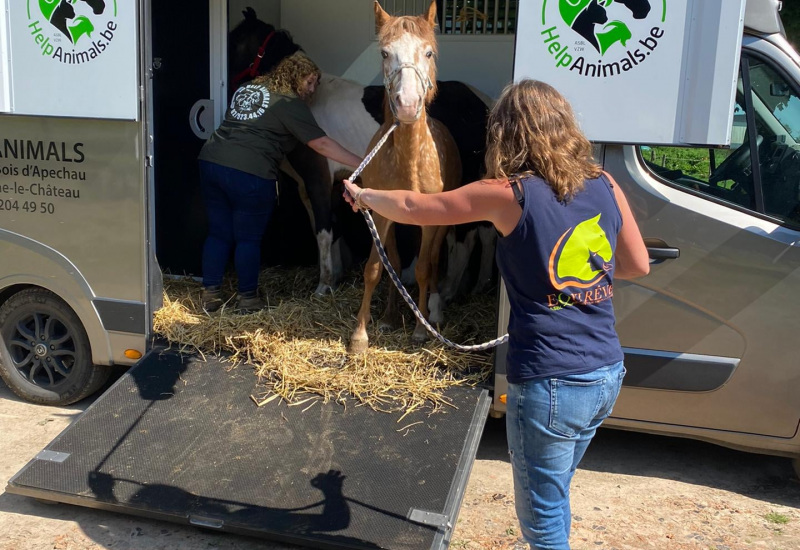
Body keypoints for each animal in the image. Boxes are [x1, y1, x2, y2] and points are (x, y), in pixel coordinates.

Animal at [350, 0, 462, 354]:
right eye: (385, 53)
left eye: (428, 52)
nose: (408, 105)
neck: (410, 160)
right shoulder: (379, 215)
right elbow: (376, 268)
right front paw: (360, 335)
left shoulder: (429, 223)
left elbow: (424, 269)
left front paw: (420, 330)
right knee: (396, 265)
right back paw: (388, 317)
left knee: (434, 262)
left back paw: (432, 313)